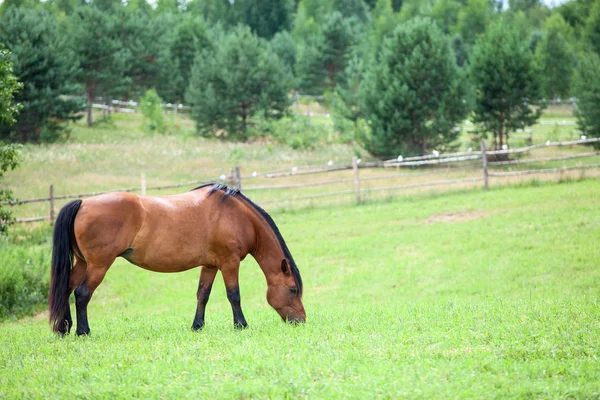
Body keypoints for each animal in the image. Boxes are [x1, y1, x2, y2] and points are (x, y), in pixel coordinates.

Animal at [48, 184, 304, 334]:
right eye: (292, 290)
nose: (301, 320)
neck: (237, 215)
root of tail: (83, 203)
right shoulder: (229, 263)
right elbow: (234, 295)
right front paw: (241, 325)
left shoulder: (210, 265)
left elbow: (203, 295)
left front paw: (197, 326)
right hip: (98, 265)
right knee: (82, 293)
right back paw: (83, 331)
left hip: (82, 263)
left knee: (66, 289)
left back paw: (63, 328)